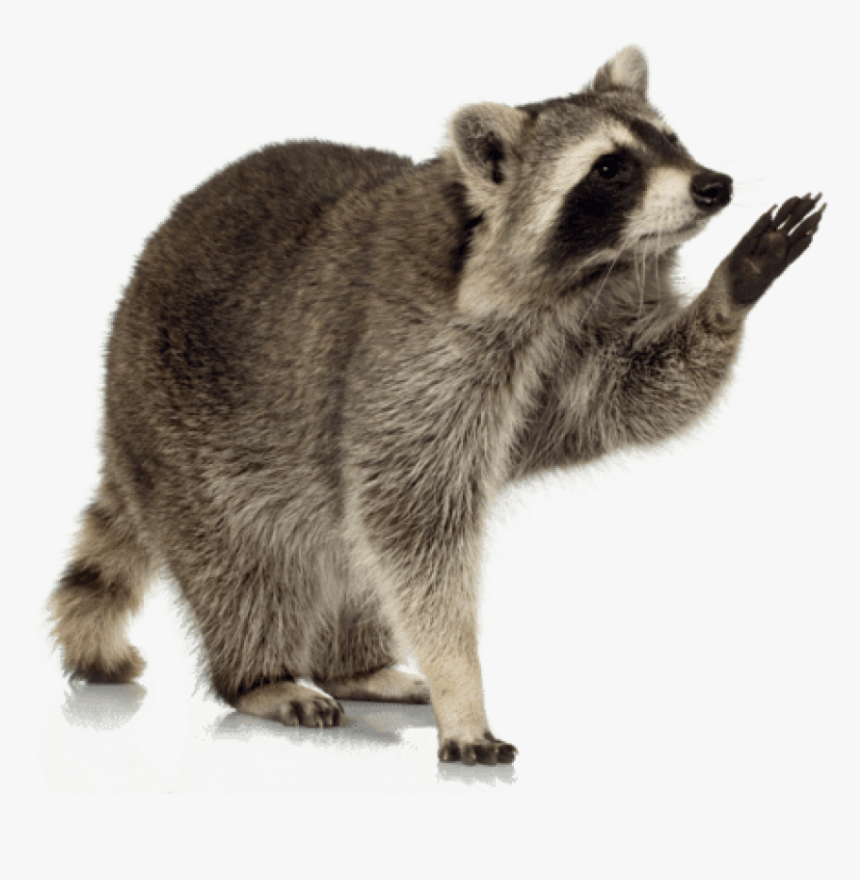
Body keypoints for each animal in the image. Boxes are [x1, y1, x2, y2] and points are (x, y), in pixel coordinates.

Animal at [49, 46, 824, 765]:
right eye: (610, 169)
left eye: (670, 139)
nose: (713, 186)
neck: (574, 283)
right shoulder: (410, 355)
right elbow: (415, 524)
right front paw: (463, 688)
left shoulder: (572, 346)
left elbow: (631, 398)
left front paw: (730, 290)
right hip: (182, 434)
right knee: (249, 564)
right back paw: (260, 675)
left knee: (346, 553)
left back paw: (353, 665)